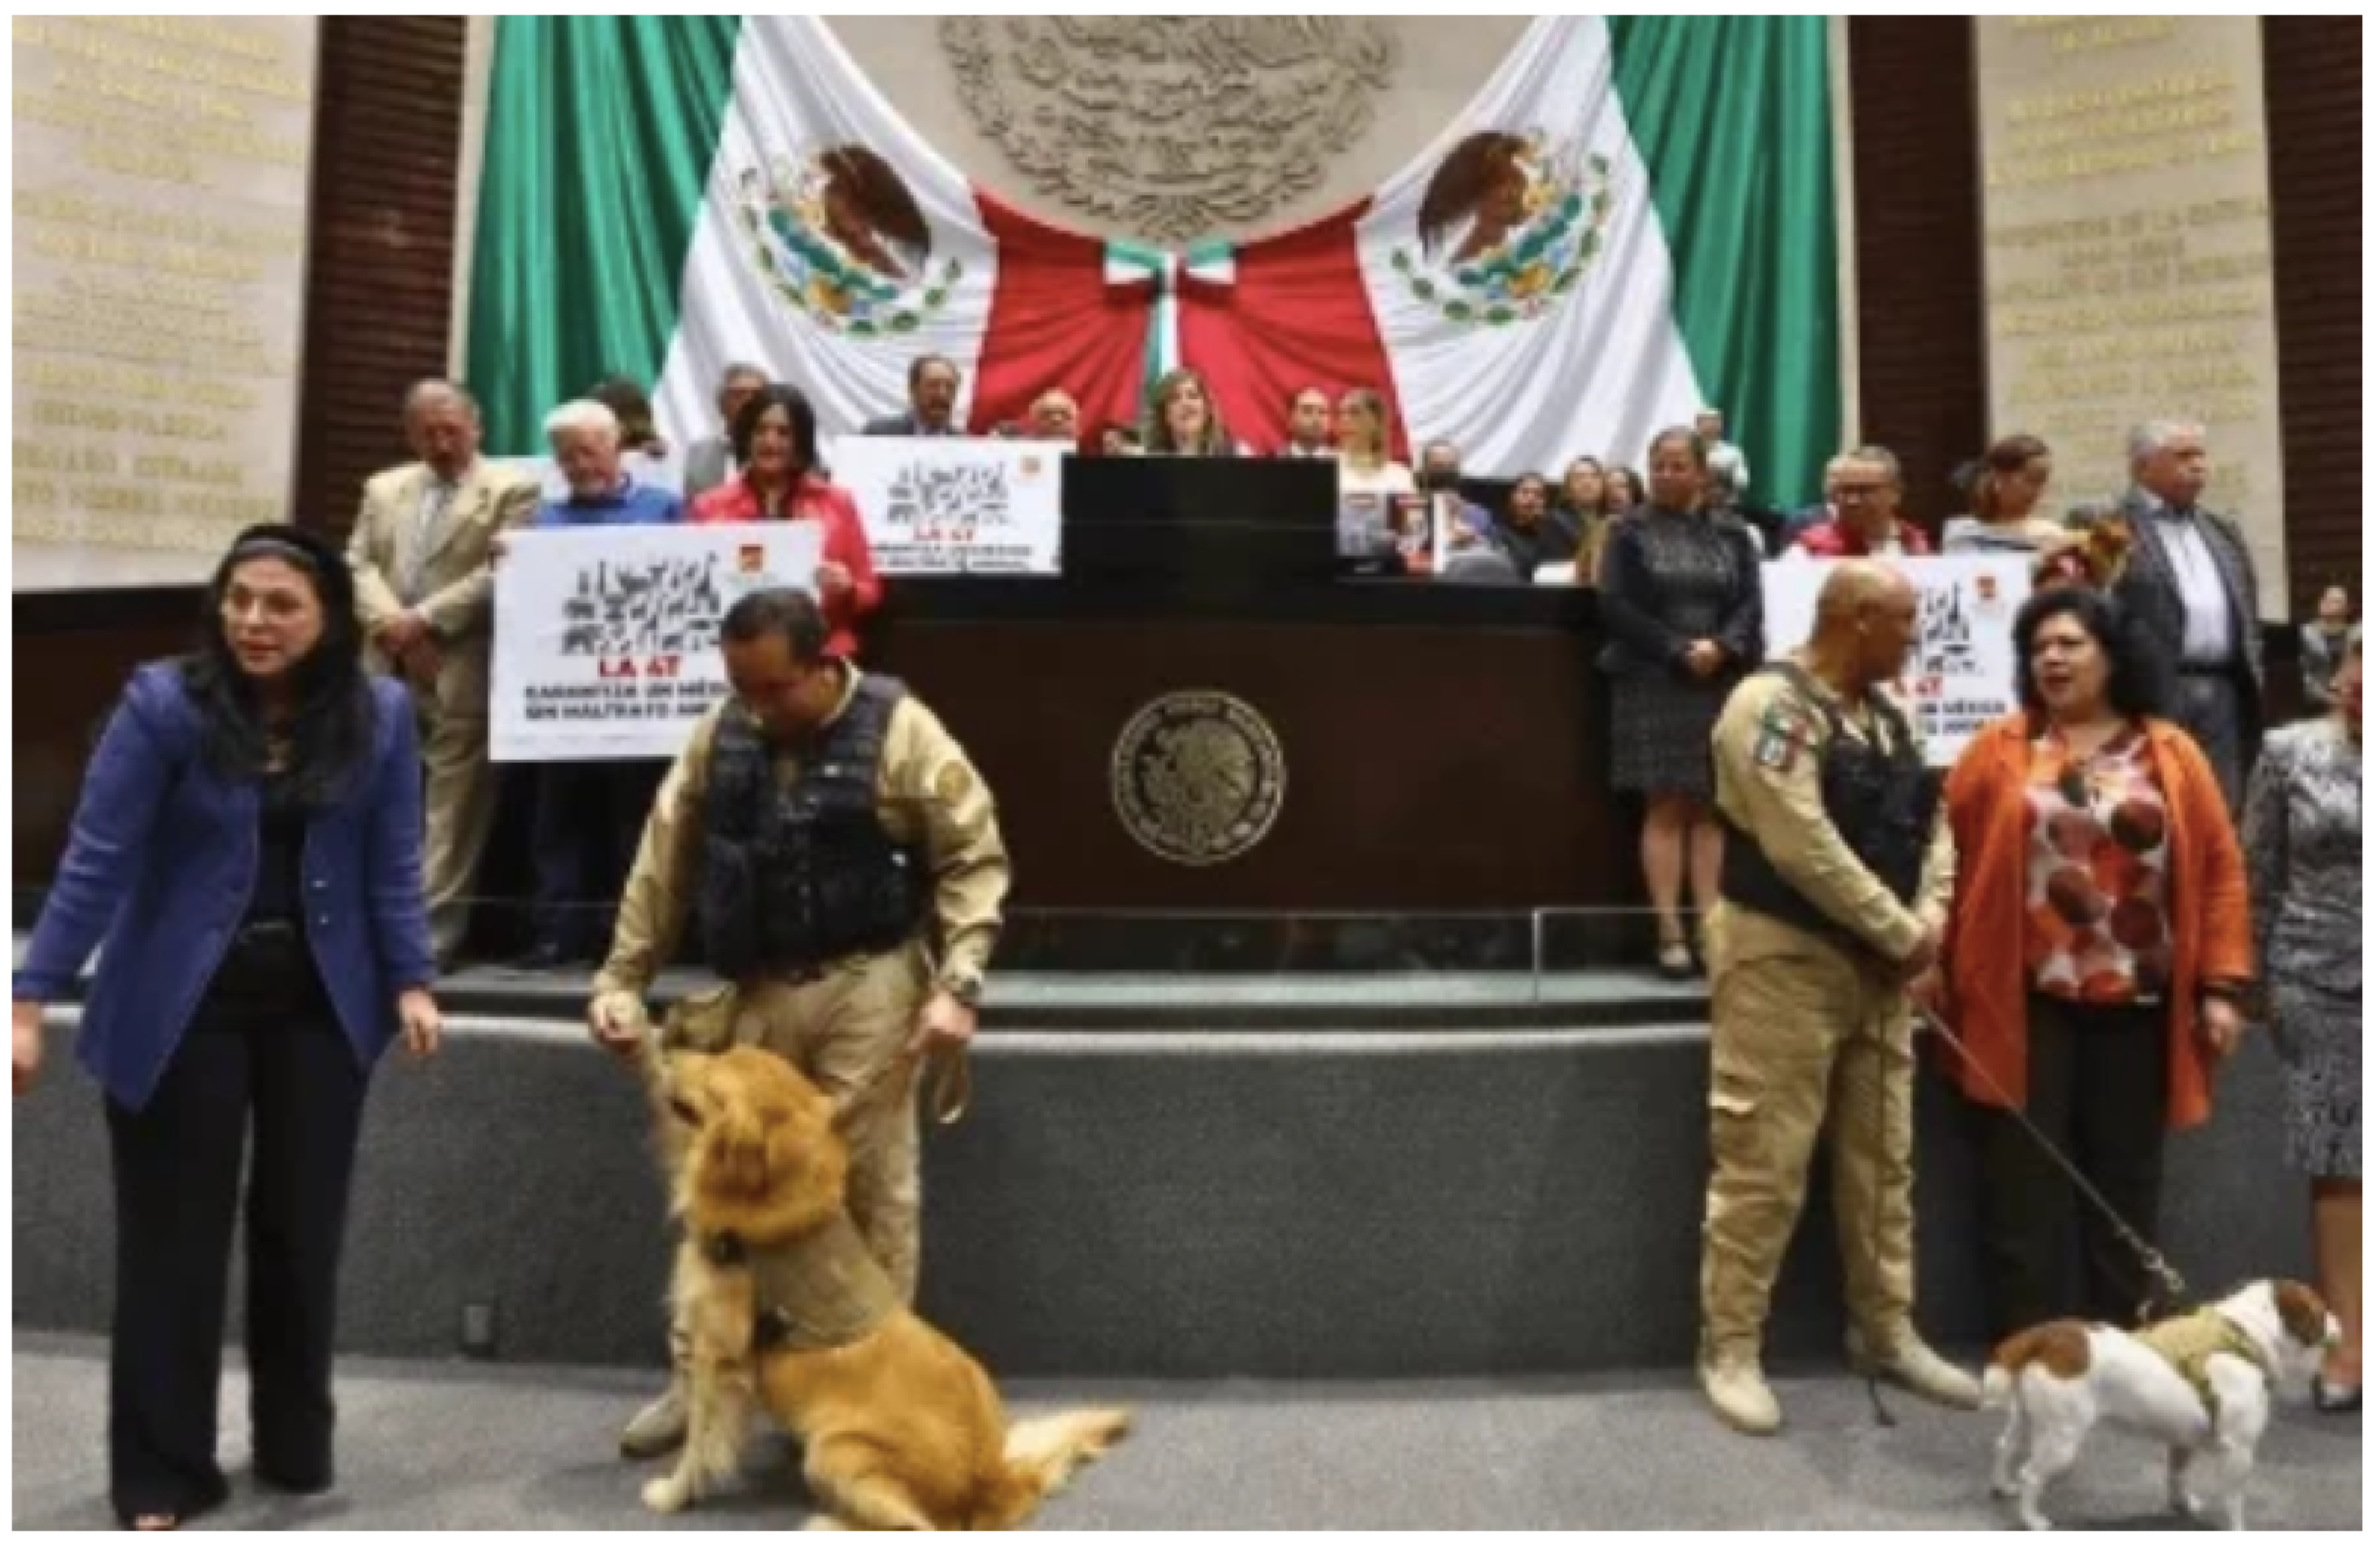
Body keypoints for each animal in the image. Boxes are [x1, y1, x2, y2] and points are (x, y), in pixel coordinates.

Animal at [637, 1041, 1127, 1522]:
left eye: (712, 1072)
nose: (667, 1047)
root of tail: (994, 1479)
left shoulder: (716, 1355)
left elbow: (699, 1443)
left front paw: (672, 1495)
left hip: (837, 1451)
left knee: (919, 1525)